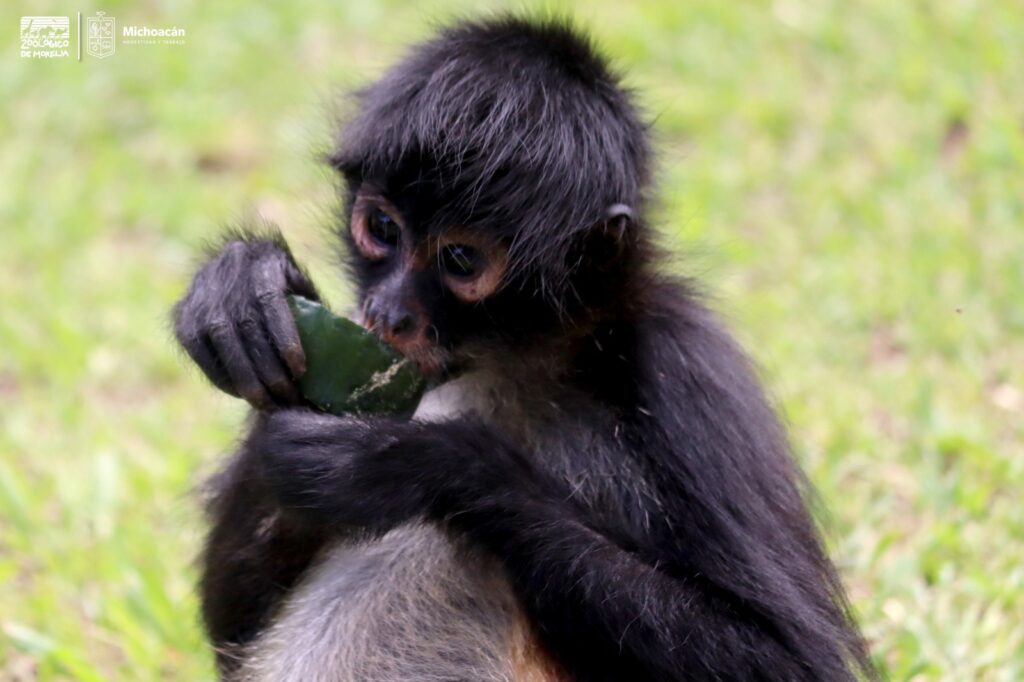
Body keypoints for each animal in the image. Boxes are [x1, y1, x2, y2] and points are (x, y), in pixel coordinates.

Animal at [172, 14, 876, 679]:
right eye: (381, 228)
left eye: (459, 260)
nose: (388, 313)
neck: (515, 361)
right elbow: (233, 628)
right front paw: (244, 287)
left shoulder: (685, 366)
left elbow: (790, 660)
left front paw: (415, 464)